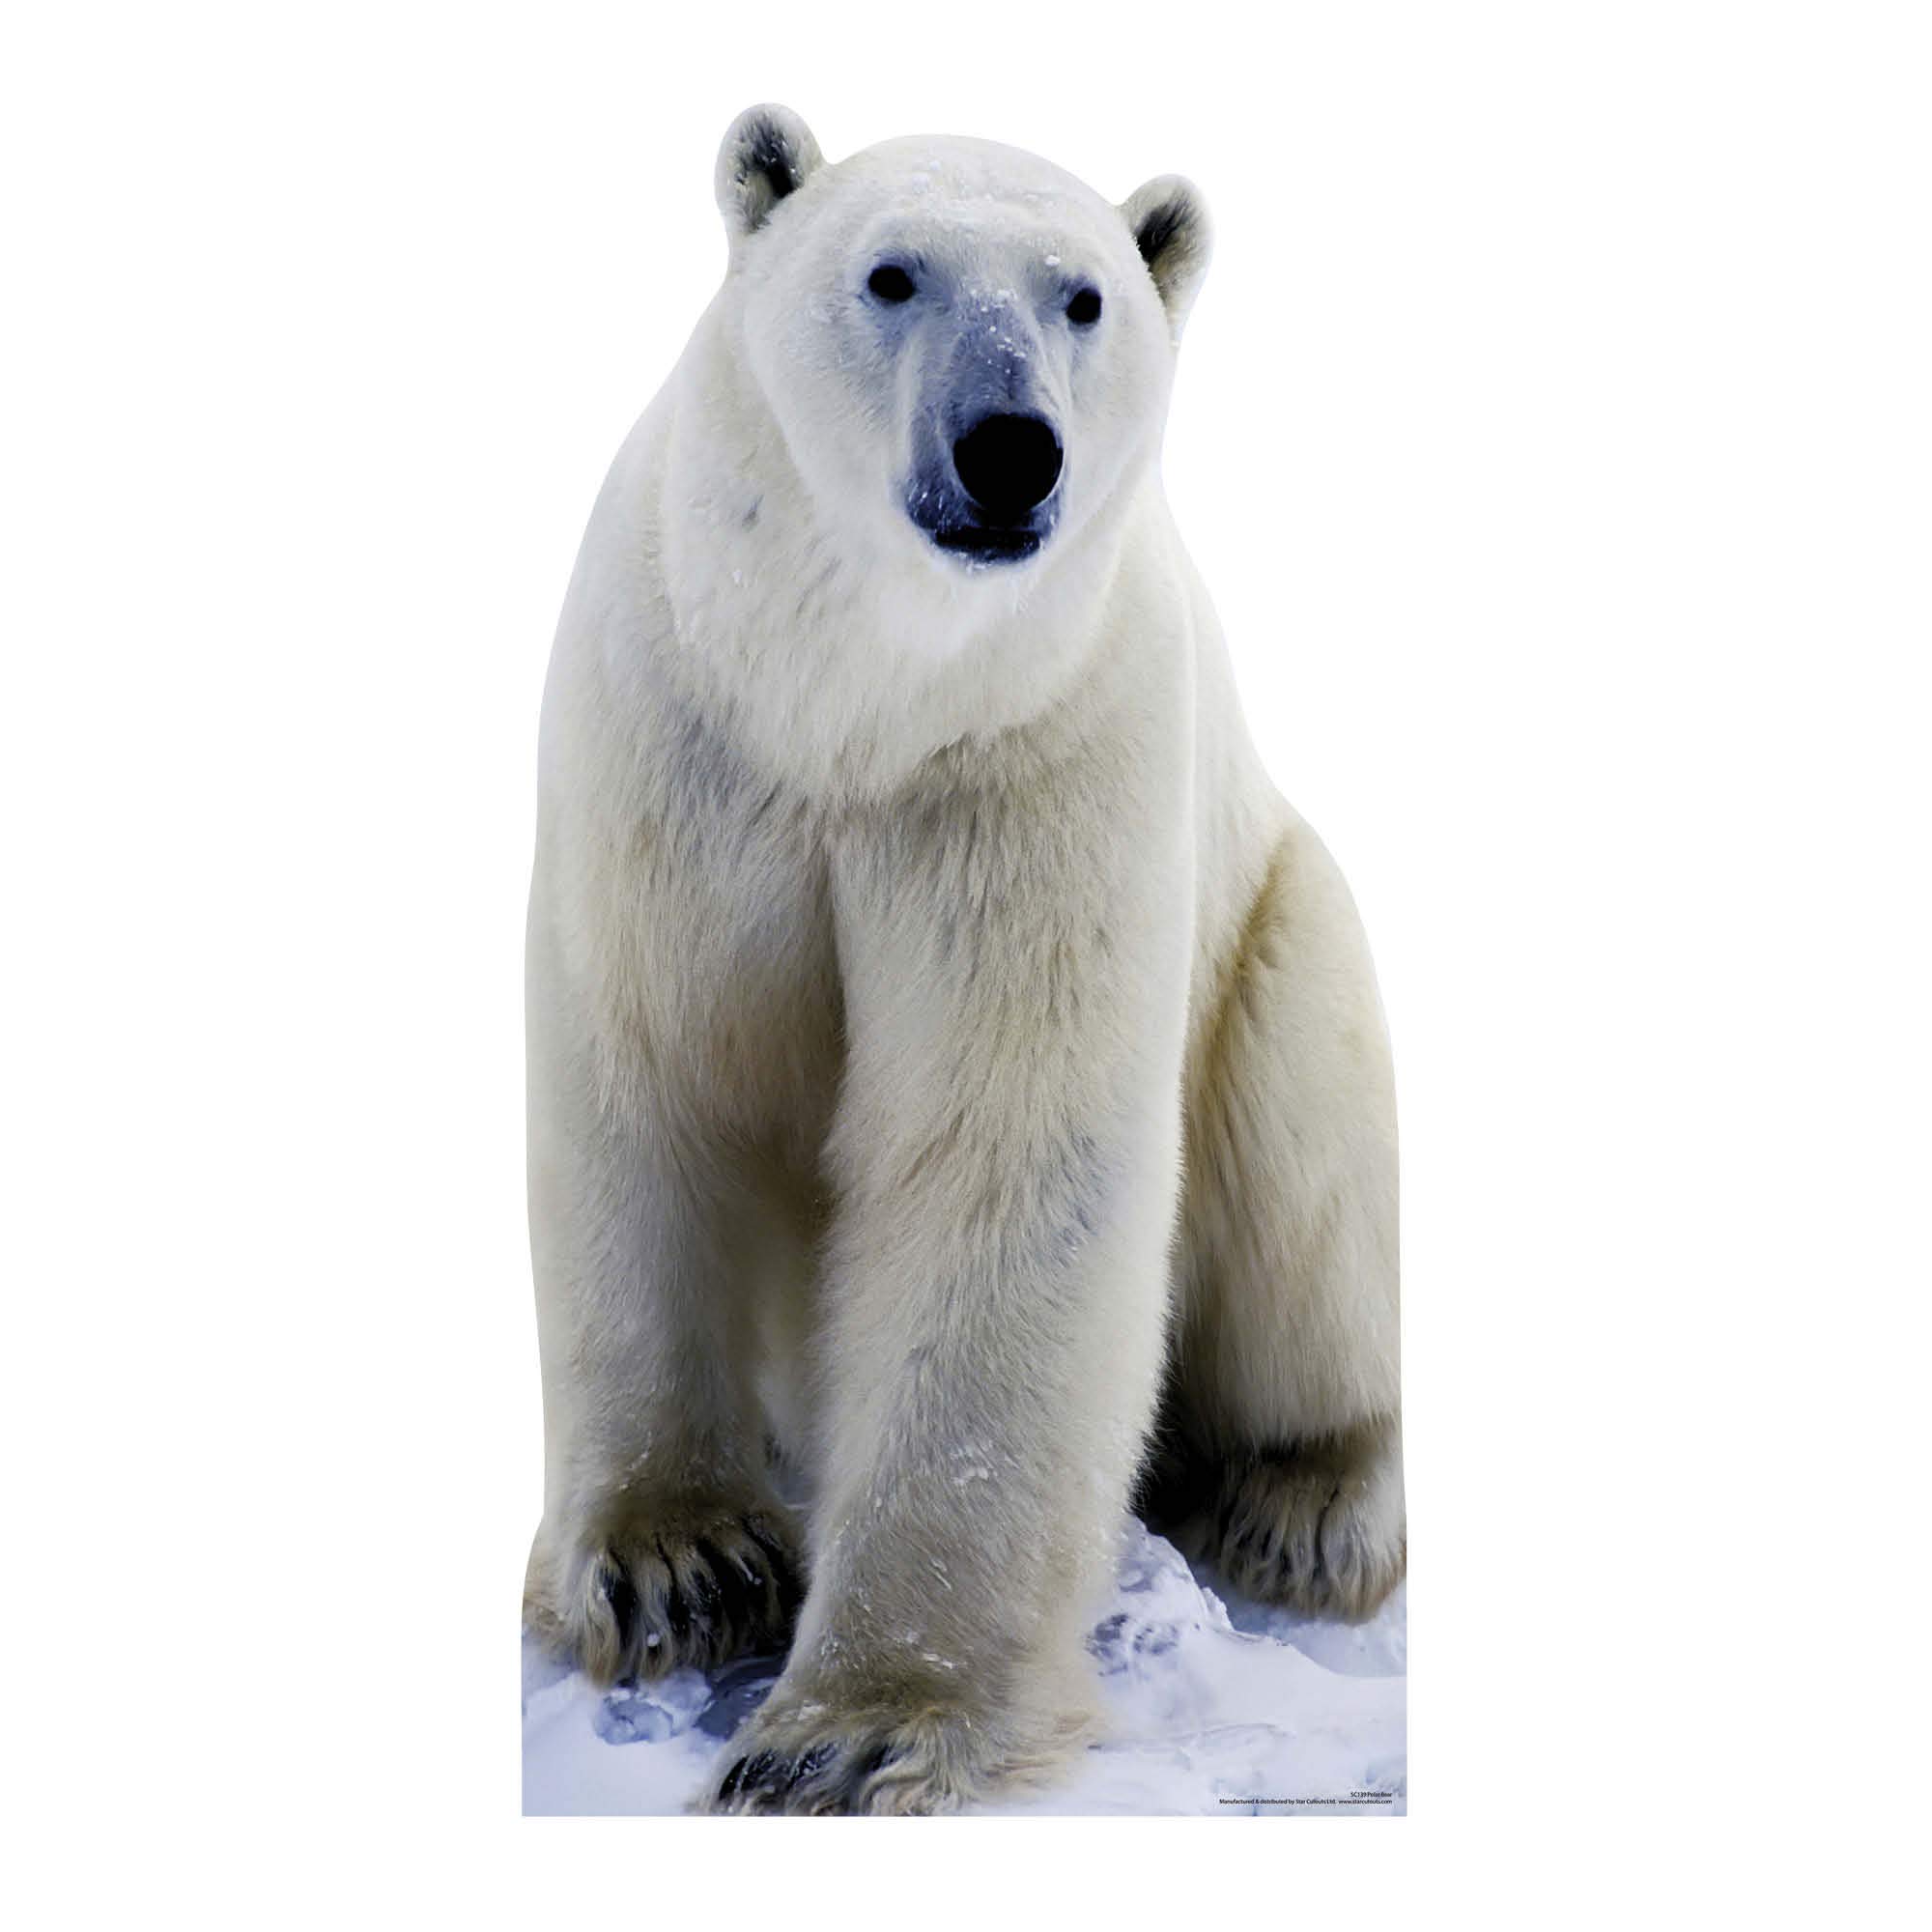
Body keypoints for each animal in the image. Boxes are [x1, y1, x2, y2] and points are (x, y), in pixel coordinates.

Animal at [521, 105, 1402, 1816]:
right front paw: (679, 1565)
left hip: (1279, 932)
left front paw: (854, 1726)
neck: (856, 706)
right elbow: (651, 1077)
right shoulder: (681, 738)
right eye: (891, 273)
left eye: (1084, 297)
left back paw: (1305, 1501)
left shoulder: (1032, 762)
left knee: (1310, 1155)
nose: (1009, 448)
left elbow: (1000, 1158)